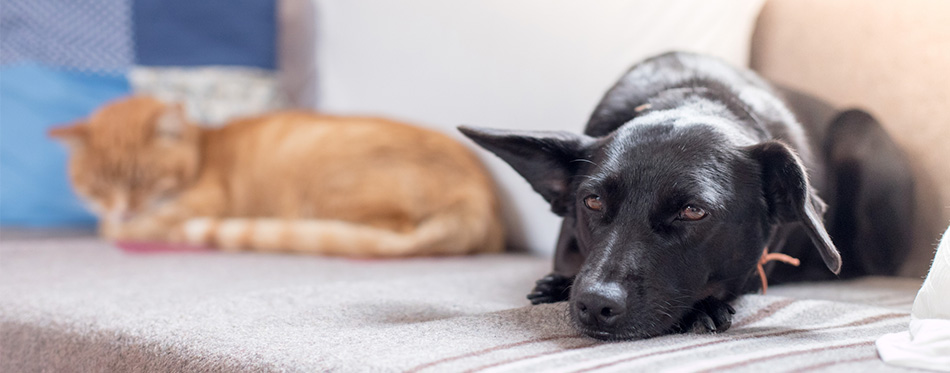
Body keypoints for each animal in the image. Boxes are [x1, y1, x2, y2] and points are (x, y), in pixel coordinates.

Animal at [48, 95, 510, 256]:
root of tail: (479, 193)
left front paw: (122, 226)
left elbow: (127, 227)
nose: (123, 208)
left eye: (142, 179)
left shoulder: (198, 203)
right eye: (98, 186)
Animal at [462, 52, 916, 340]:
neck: (693, 94)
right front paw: (556, 285)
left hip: (859, 129)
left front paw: (705, 308)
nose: (594, 305)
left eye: (693, 211)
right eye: (592, 201)